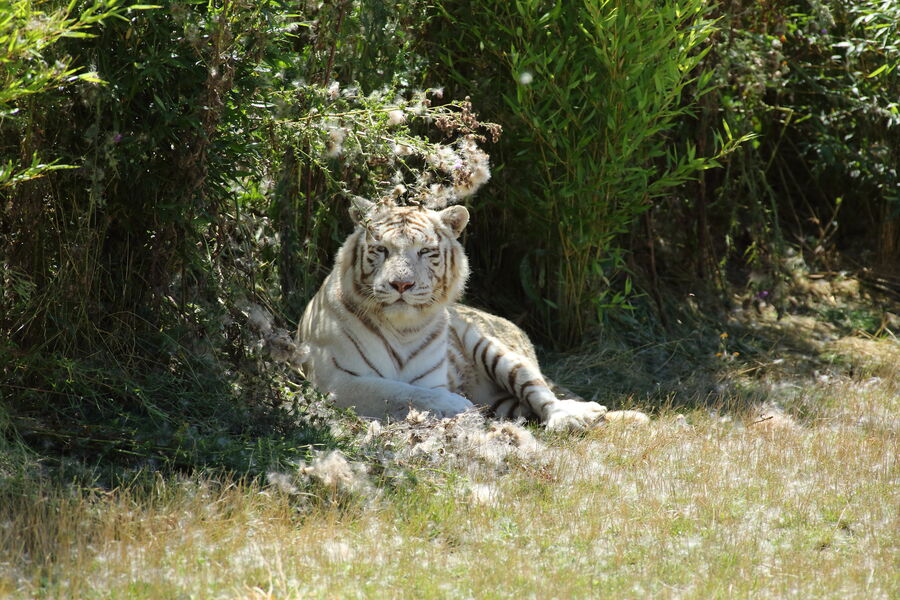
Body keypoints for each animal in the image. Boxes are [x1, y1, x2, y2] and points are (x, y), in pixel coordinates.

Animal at [296, 199, 612, 428]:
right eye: (381, 249)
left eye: (425, 251)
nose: (401, 284)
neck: (403, 328)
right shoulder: (335, 379)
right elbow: (395, 391)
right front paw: (455, 404)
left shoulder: (430, 379)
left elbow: (412, 392)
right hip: (502, 403)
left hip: (493, 349)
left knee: (541, 392)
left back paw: (572, 416)